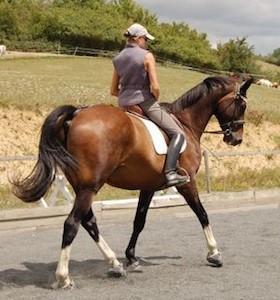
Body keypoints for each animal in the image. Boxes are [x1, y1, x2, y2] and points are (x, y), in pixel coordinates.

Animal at [10, 75, 253, 288]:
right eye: (241, 105)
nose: (236, 139)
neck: (186, 122)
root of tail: (76, 114)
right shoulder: (186, 182)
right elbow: (202, 214)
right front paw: (214, 253)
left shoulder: (148, 186)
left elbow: (139, 221)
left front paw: (131, 257)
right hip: (90, 186)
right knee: (72, 223)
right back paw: (64, 278)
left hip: (81, 185)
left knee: (88, 222)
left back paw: (115, 264)